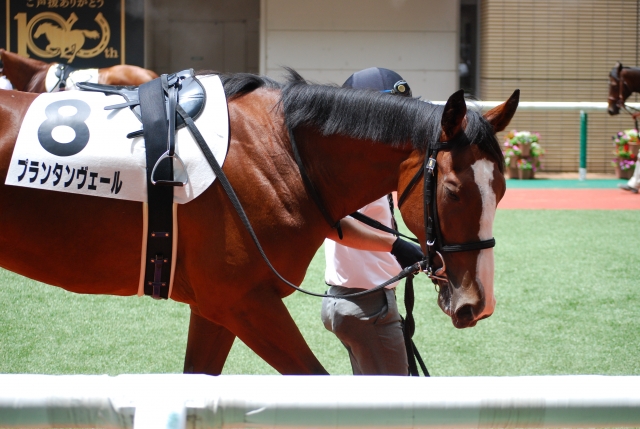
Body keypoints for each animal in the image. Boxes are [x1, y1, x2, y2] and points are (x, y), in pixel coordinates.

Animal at [0, 70, 519, 375]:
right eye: (453, 190)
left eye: (501, 189)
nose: (478, 303)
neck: (279, 153)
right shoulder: (244, 303)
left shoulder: (216, 308)